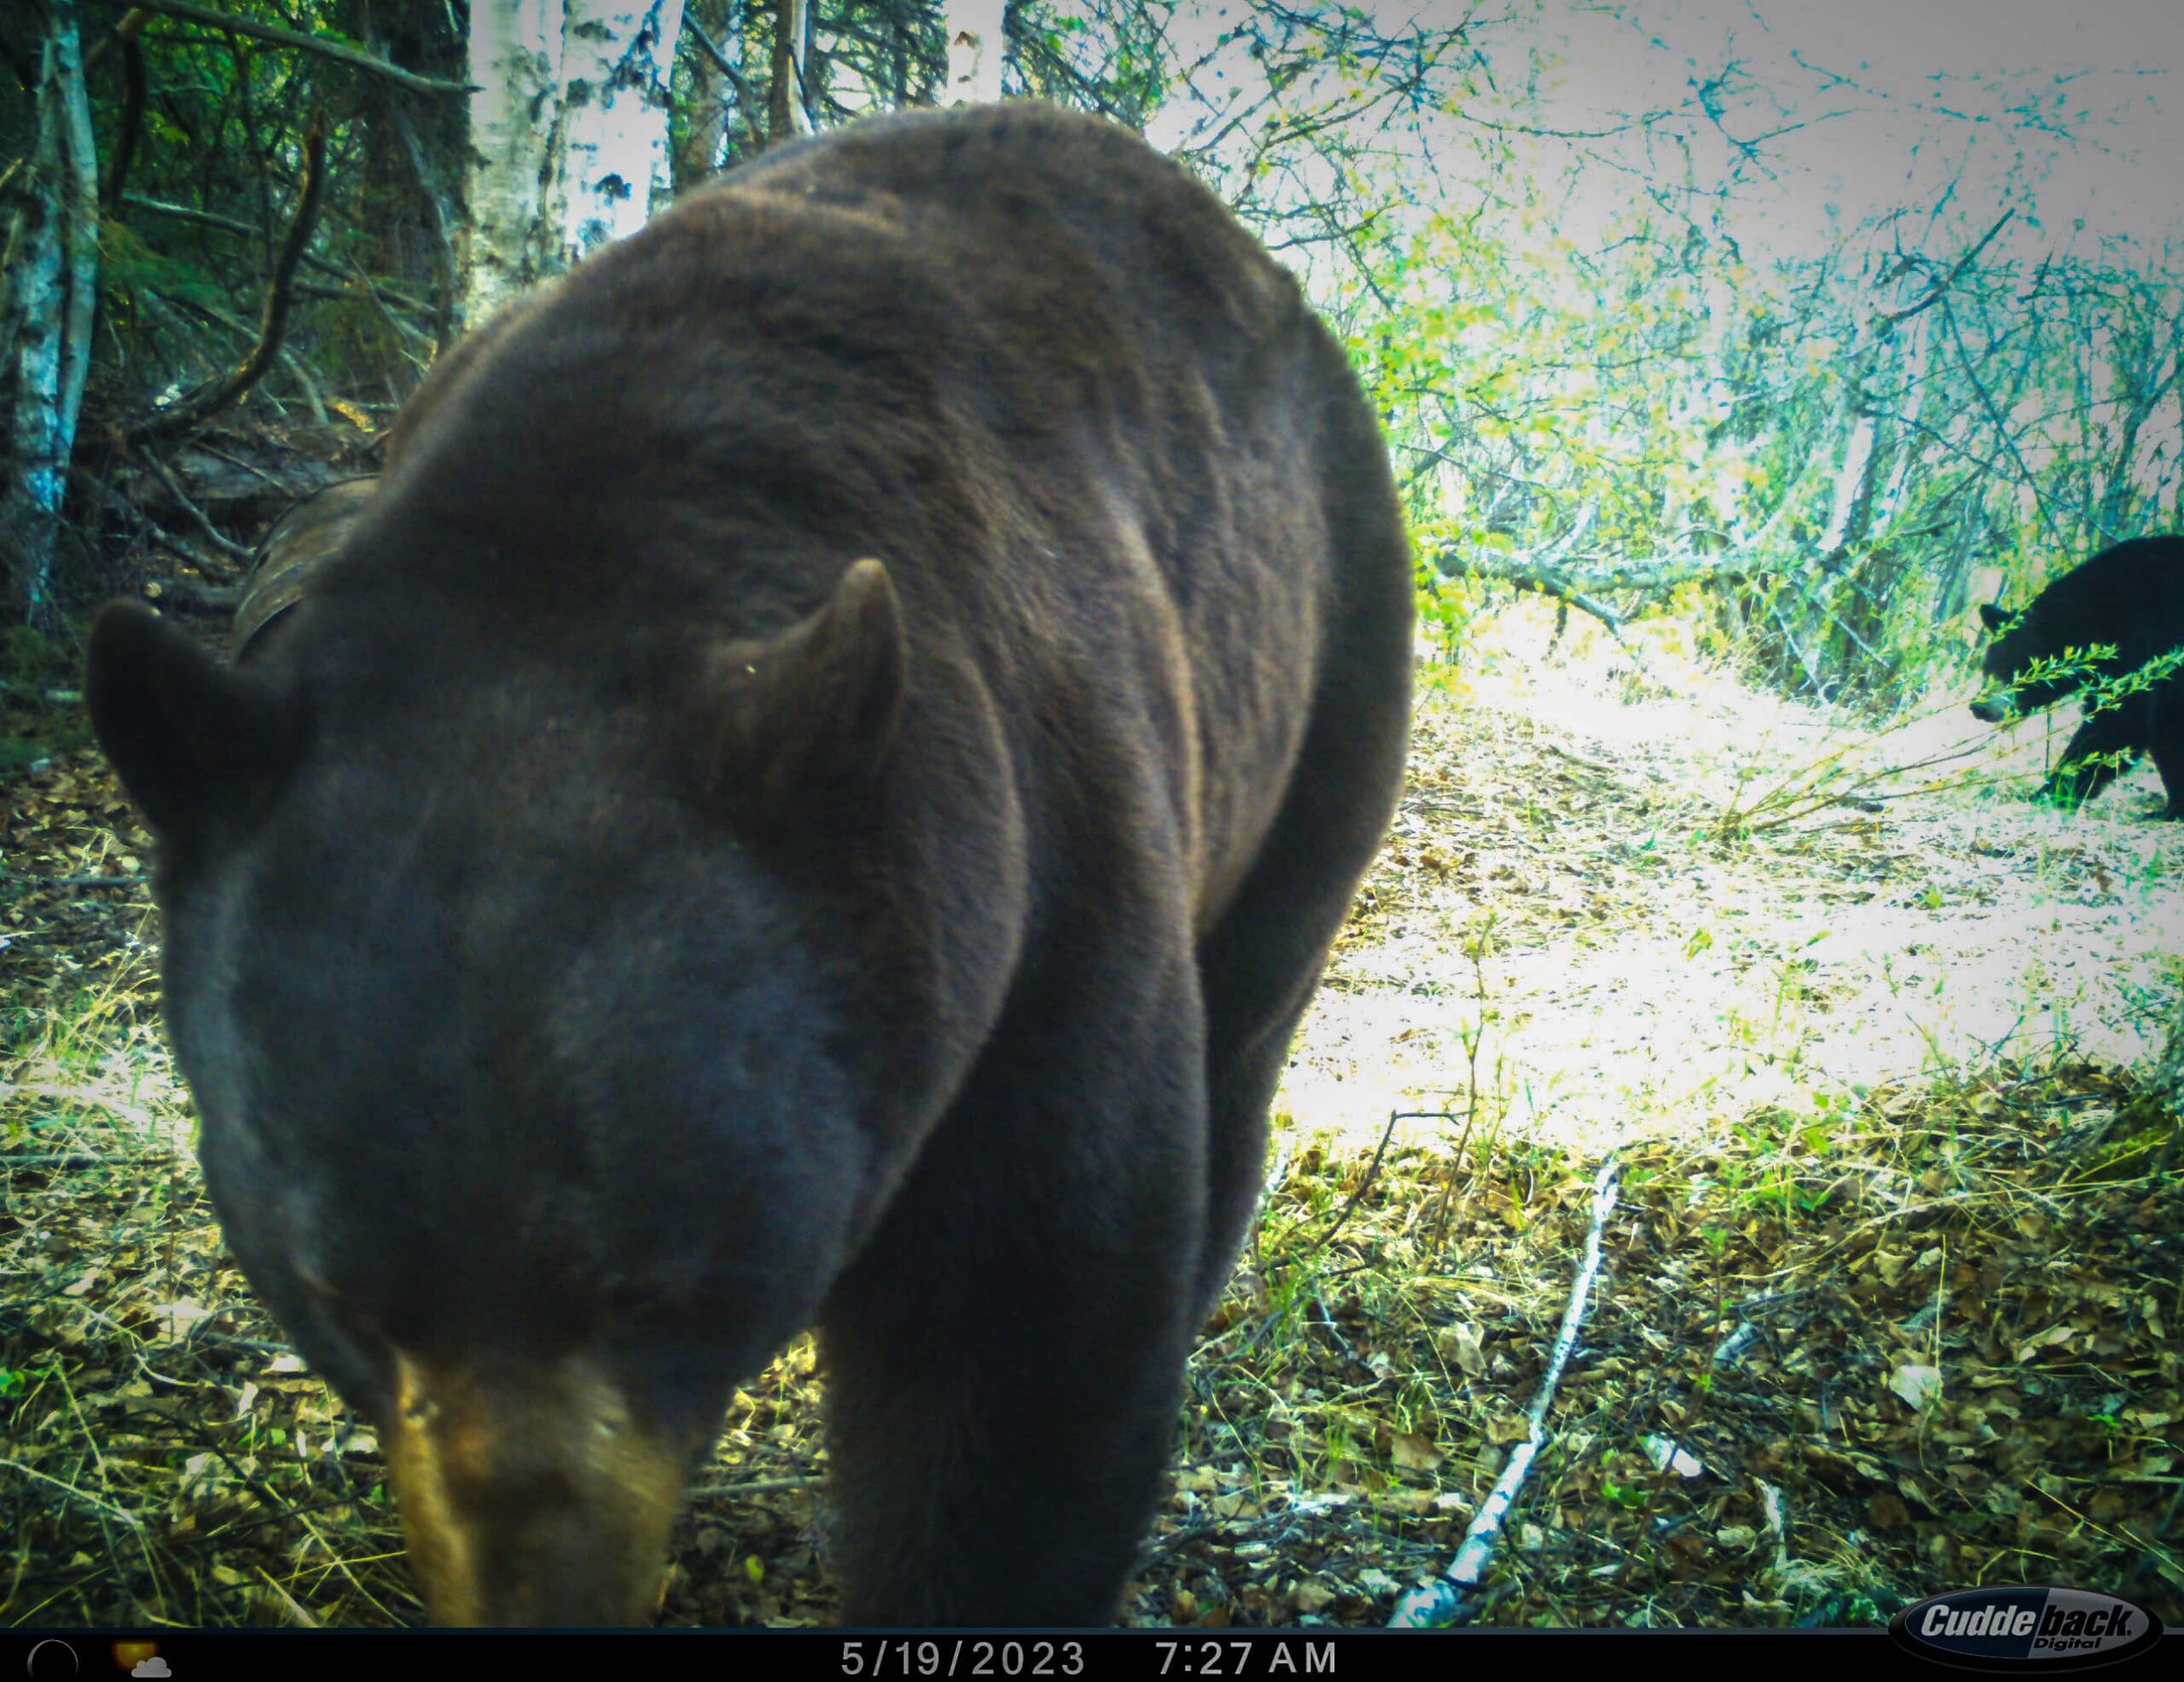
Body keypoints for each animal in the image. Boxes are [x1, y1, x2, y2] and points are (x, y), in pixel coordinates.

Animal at [80, 107, 1414, 1625]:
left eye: (652, 1287)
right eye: (340, 1300)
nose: (538, 1600)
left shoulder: (1041, 850)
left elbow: (1024, 1329)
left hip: (1325, 673)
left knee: (1244, 1034)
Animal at [1974, 524, 2184, 812]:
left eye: (2013, 668)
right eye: (1986, 667)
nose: (1979, 706)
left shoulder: (2149, 643)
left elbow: (2121, 718)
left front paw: (2052, 790)